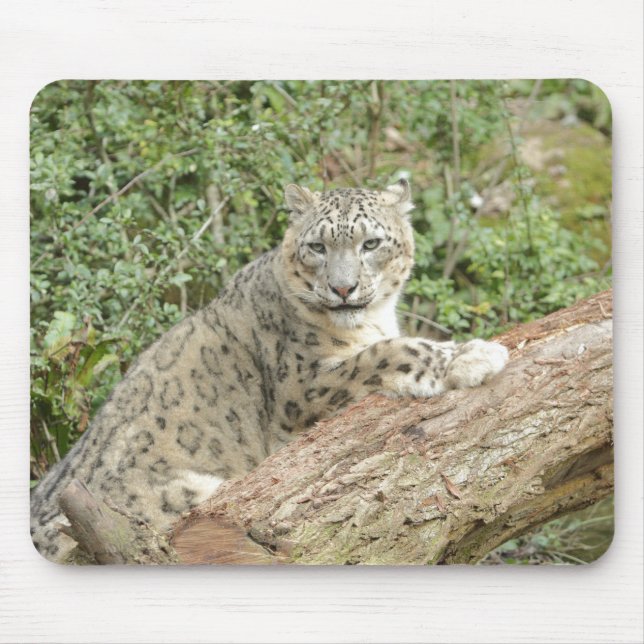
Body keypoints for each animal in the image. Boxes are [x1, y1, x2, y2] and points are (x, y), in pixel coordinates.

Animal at [30, 179, 508, 562]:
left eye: (370, 244)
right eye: (318, 247)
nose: (343, 288)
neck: (373, 320)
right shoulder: (303, 389)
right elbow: (388, 352)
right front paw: (474, 355)